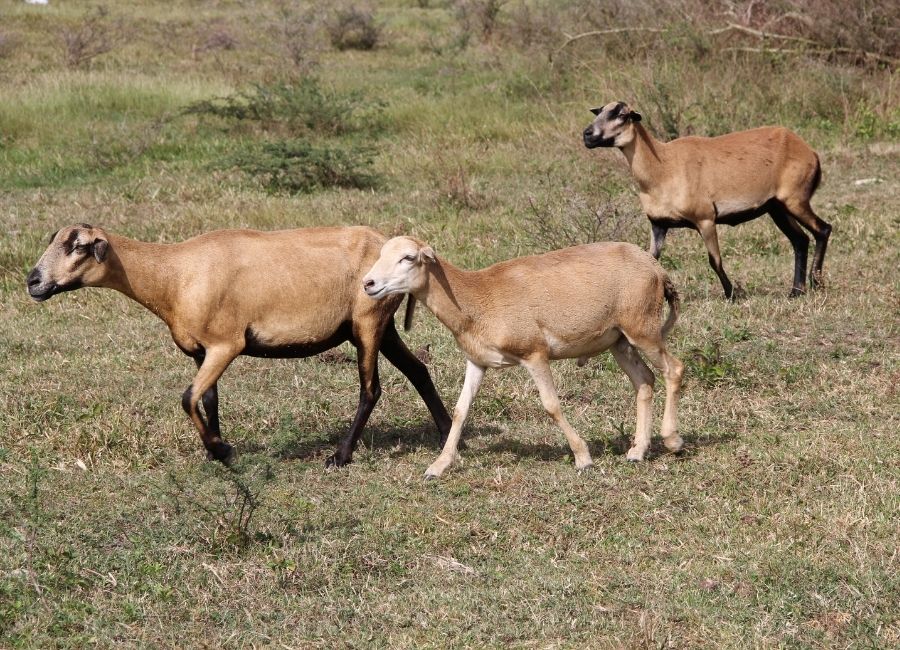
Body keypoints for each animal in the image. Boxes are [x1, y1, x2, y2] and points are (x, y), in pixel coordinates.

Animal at [26, 223, 452, 465]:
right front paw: (215, 450)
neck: (172, 276)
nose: (33, 281)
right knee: (418, 370)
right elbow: (208, 398)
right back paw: (447, 431)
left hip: (367, 320)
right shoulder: (201, 350)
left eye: (78, 246)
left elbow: (187, 397)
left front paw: (221, 450)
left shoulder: (226, 344)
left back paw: (340, 456)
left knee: (370, 389)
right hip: (380, 325)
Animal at [362, 236, 684, 478]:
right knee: (644, 381)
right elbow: (460, 410)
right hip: (620, 341)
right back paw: (638, 451)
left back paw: (672, 440)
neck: (475, 296)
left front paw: (583, 457)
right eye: (382, 253)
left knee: (674, 369)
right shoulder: (477, 361)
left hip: (644, 330)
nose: (368, 283)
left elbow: (551, 405)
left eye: (408, 257)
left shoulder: (535, 354)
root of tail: (655, 267)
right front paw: (437, 466)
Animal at [583, 101, 832, 299]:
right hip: (776, 206)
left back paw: (816, 283)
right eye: (599, 111)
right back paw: (796, 291)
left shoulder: (705, 218)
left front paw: (732, 294)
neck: (662, 167)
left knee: (823, 229)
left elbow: (715, 260)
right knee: (800, 240)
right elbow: (650, 259)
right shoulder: (658, 224)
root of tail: (811, 153)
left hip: (795, 198)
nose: (587, 134)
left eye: (621, 114)